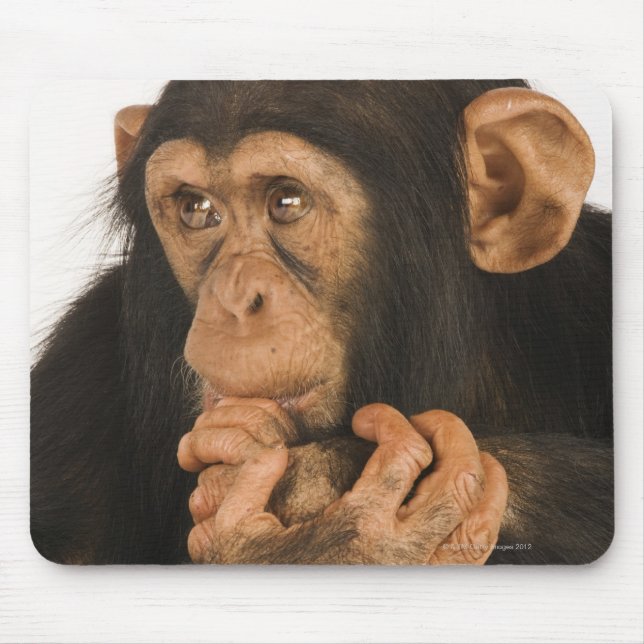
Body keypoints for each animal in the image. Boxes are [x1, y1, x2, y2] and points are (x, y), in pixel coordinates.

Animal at [31, 81, 612, 565]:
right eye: (197, 209)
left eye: (287, 201)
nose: (233, 297)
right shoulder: (77, 371)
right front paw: (336, 538)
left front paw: (318, 485)